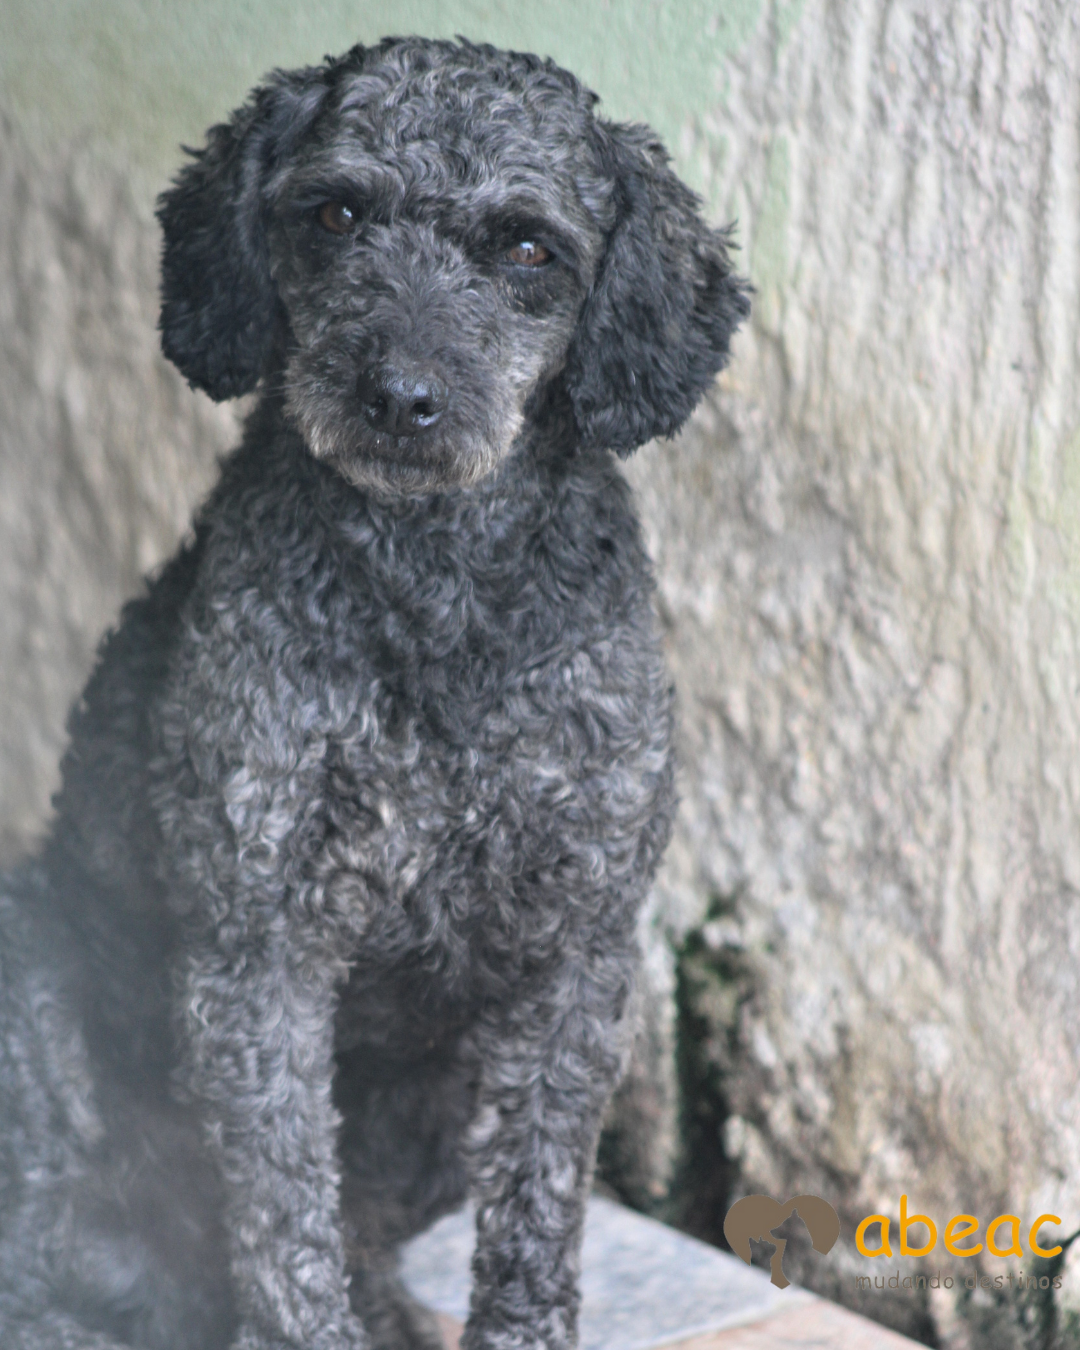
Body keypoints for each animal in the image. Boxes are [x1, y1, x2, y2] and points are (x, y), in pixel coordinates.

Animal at [0, 36, 748, 1350]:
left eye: (528, 248)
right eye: (337, 213)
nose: (400, 395)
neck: (434, 603)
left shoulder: (576, 954)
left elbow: (533, 1212)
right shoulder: (260, 950)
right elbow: (287, 1231)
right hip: (31, 972)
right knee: (50, 1248)